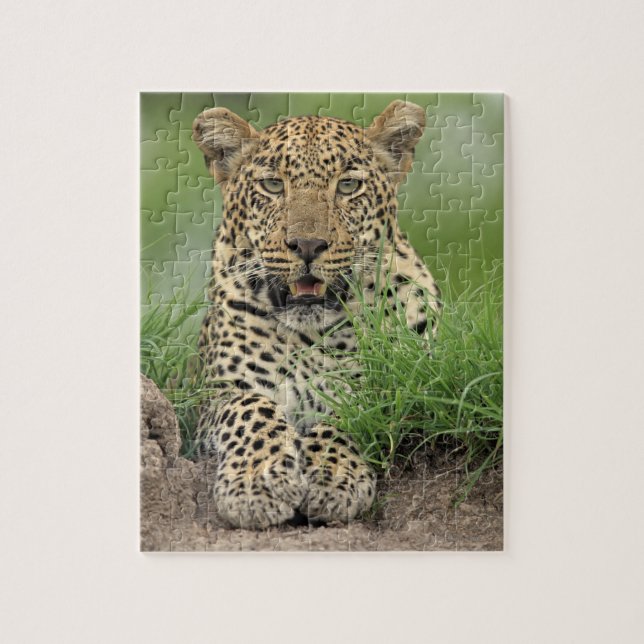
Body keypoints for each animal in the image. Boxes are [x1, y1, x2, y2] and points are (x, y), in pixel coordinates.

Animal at [192, 100, 441, 530]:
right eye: (274, 185)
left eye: (348, 186)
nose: (307, 244)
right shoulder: (217, 395)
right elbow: (250, 409)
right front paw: (256, 483)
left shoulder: (404, 384)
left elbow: (352, 411)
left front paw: (334, 477)